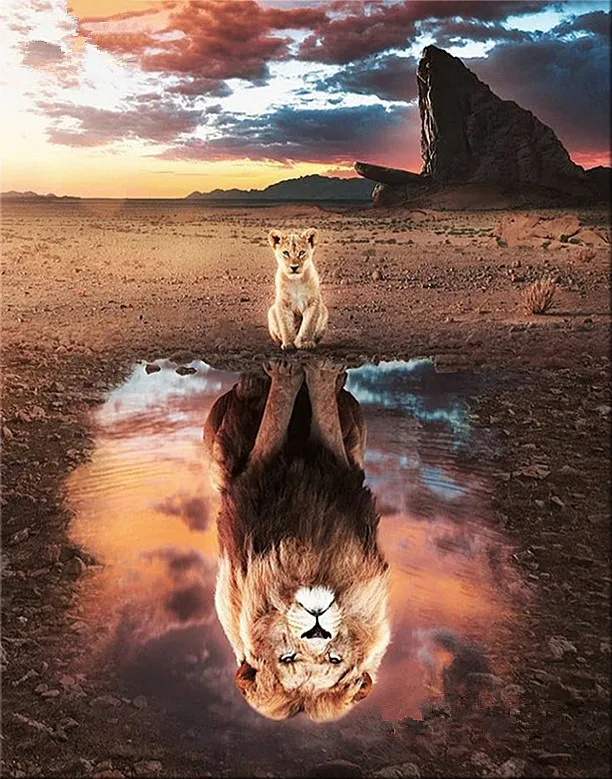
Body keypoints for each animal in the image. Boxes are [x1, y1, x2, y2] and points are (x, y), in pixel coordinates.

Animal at [203, 359, 390, 721]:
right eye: (287, 657)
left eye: (334, 658)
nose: (317, 628)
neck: (306, 560)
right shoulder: (257, 468)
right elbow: (277, 413)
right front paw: (289, 370)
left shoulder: (341, 463)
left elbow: (323, 416)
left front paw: (319, 372)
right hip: (216, 450)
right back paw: (253, 383)